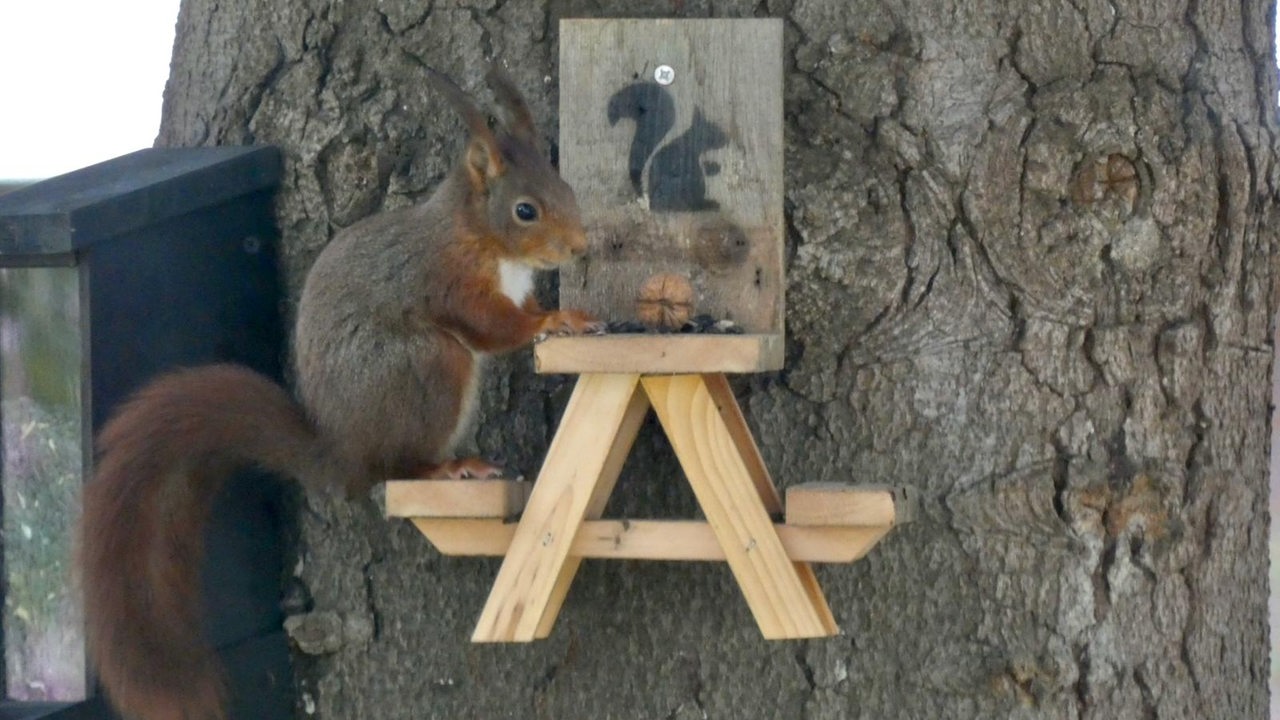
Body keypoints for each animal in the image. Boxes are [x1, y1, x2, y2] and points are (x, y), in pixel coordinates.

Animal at [77, 67, 601, 717]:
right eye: (525, 209)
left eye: (566, 186)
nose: (580, 246)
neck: (480, 237)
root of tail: (339, 455)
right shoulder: (447, 280)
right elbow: (494, 327)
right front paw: (556, 322)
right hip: (427, 366)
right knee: (395, 465)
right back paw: (447, 467)